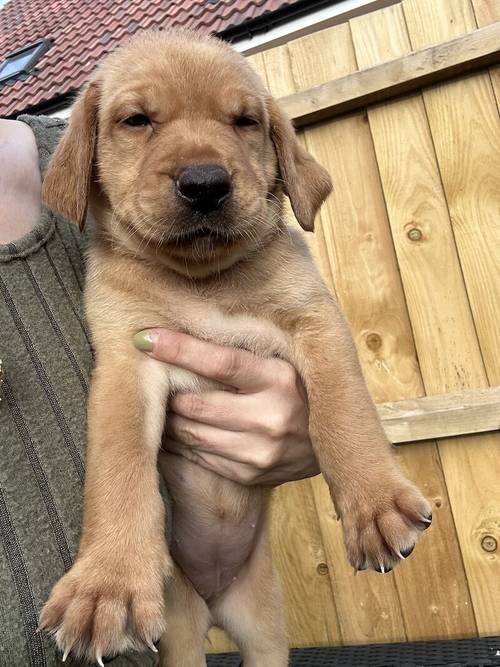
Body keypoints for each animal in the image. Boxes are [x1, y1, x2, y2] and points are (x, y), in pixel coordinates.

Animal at [39, 30, 432, 667]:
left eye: (245, 121)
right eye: (136, 120)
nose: (205, 183)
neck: (203, 282)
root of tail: (216, 602)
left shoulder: (316, 321)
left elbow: (343, 411)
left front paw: (375, 503)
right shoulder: (126, 364)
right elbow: (118, 469)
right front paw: (106, 585)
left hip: (265, 627)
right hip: (179, 637)